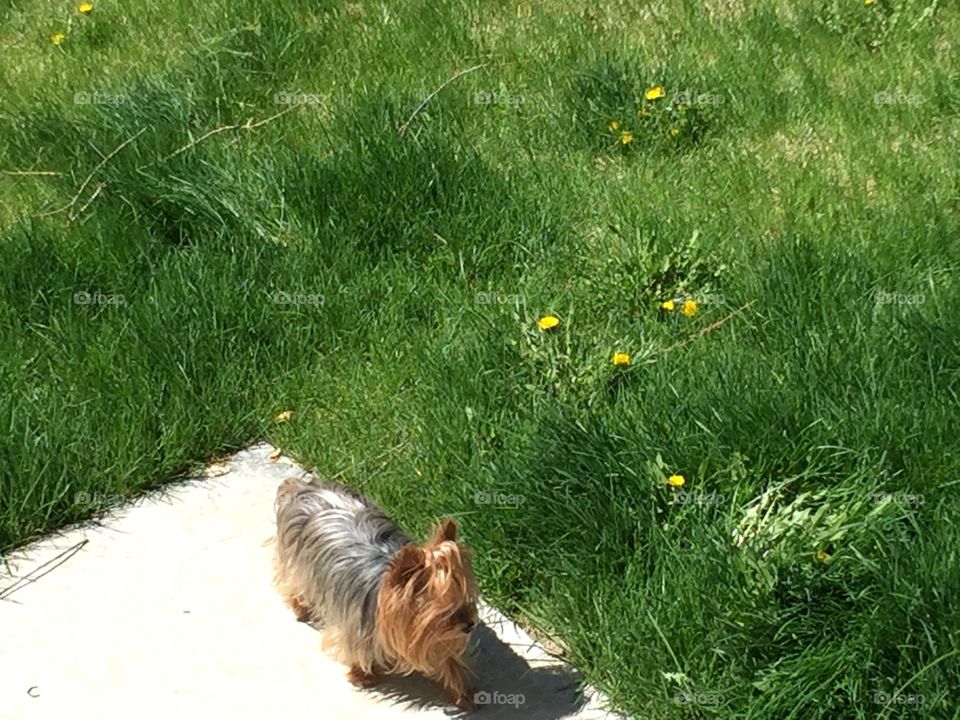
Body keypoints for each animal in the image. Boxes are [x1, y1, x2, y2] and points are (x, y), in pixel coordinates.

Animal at [272, 476, 480, 712]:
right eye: (445, 612)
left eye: (467, 602)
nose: (470, 625)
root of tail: (302, 486)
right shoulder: (357, 626)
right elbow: (355, 650)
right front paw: (361, 674)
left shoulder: (432, 636)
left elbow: (449, 660)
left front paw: (465, 692)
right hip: (296, 559)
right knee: (291, 579)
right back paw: (299, 607)